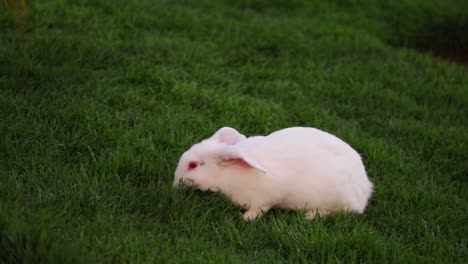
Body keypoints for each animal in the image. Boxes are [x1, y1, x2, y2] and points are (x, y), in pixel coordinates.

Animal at [174, 126, 374, 221]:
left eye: (193, 165)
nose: (176, 184)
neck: (227, 174)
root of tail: (365, 189)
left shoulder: (263, 198)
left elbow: (259, 210)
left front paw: (244, 218)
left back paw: (310, 216)